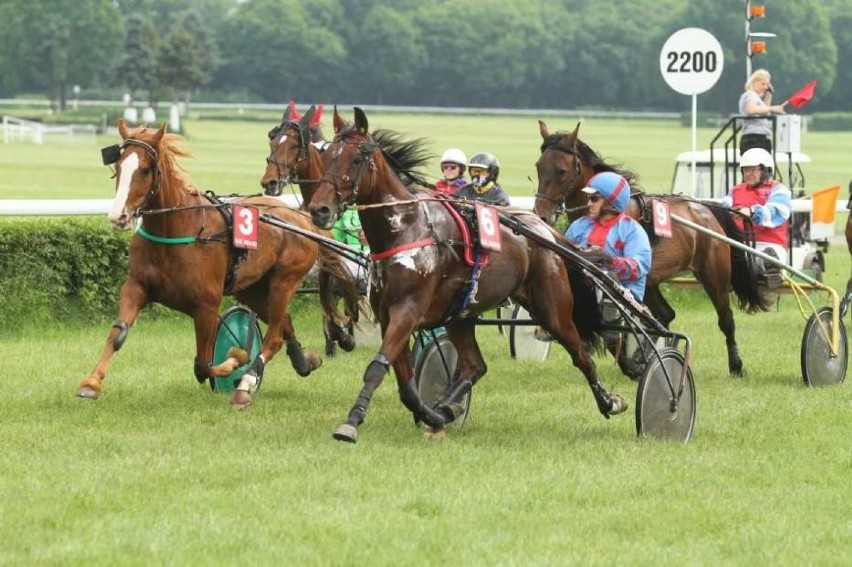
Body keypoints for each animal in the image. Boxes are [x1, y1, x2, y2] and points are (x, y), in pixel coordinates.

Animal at [75, 122, 350, 410]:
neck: (178, 229)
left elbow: (203, 365)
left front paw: (236, 360)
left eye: (145, 169)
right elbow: (117, 333)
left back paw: (245, 385)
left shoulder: (206, 305)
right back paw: (304, 361)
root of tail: (302, 218)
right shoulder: (136, 287)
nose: (118, 216)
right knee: (283, 322)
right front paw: (91, 383)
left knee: (273, 336)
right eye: (118, 167)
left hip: (284, 281)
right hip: (250, 289)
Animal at [306, 106, 624, 444]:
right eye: (327, 157)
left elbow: (378, 367)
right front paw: (433, 414)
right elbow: (406, 385)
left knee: (581, 354)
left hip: (552, 308)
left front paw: (351, 422)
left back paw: (609, 401)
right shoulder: (388, 314)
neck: (406, 228)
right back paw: (448, 407)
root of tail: (542, 230)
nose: (319, 210)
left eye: (355, 159)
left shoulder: (407, 310)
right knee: (475, 366)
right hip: (461, 314)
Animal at [536, 120, 768, 378]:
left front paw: (631, 363)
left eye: (561, 170)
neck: (606, 211)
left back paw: (736, 365)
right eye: (539, 167)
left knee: (725, 319)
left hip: (713, 274)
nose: (542, 215)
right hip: (652, 283)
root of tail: (706, 210)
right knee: (665, 315)